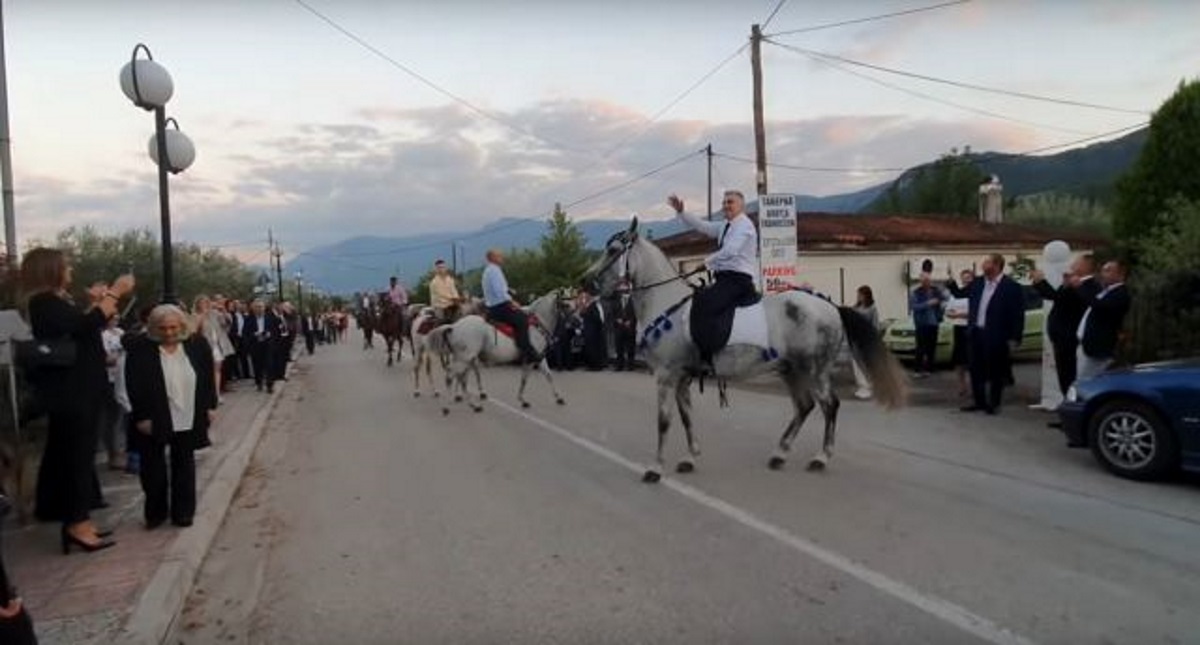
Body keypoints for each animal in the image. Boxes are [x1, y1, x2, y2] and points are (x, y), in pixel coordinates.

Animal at [427, 290, 566, 412]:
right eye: (566, 302)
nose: (570, 319)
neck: (537, 325)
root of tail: (454, 326)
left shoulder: (534, 358)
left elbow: (540, 376)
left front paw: (555, 398)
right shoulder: (534, 358)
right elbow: (533, 377)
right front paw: (525, 399)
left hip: (465, 359)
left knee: (462, 379)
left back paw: (473, 405)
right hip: (464, 359)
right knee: (451, 377)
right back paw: (447, 407)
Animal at [583, 218, 907, 479]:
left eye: (613, 250)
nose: (586, 282)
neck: (666, 304)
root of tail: (831, 306)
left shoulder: (666, 375)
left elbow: (663, 421)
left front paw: (655, 469)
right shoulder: (682, 378)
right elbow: (686, 417)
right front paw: (690, 458)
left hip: (814, 369)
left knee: (830, 405)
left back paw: (821, 458)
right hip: (791, 369)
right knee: (804, 406)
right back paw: (780, 453)